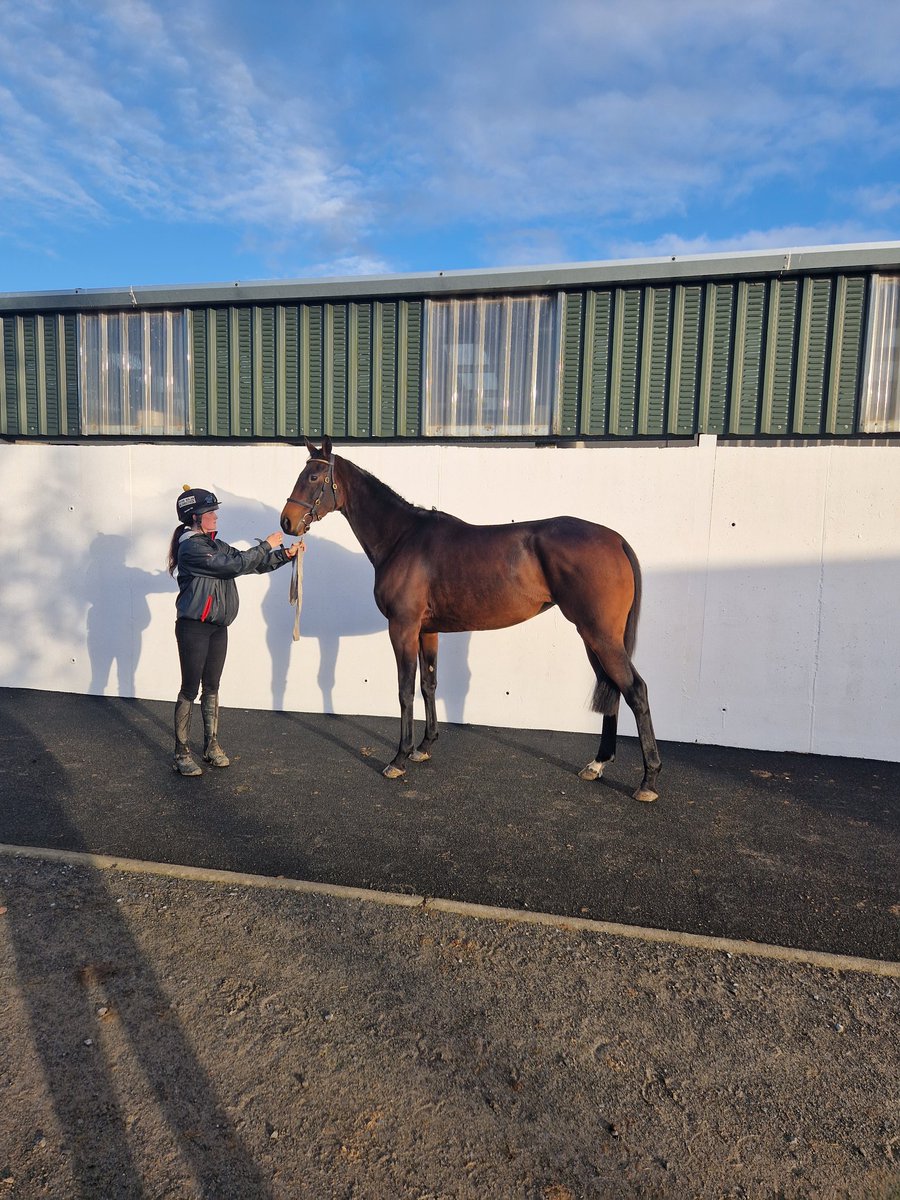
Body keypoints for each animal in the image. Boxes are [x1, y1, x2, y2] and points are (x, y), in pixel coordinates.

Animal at [281, 438, 661, 802]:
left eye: (313, 477)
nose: (286, 522)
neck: (402, 538)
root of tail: (616, 540)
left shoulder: (402, 628)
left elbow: (405, 690)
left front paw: (399, 758)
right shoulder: (427, 631)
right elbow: (428, 684)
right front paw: (424, 746)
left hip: (600, 635)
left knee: (635, 690)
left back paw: (647, 780)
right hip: (593, 637)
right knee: (613, 689)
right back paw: (598, 764)